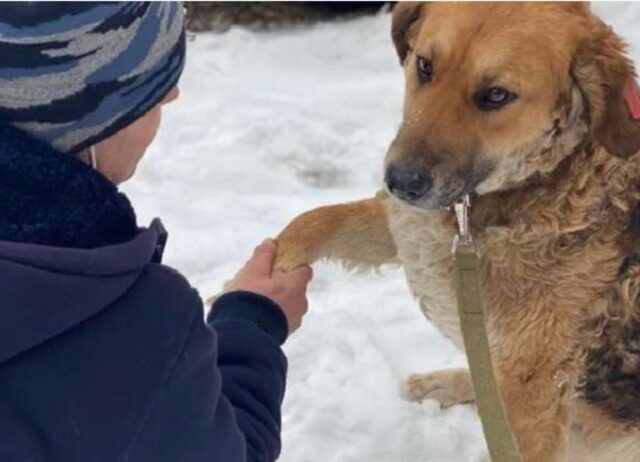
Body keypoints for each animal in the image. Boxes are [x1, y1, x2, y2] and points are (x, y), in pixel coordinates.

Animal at [272, 3, 640, 462]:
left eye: (496, 95)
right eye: (425, 66)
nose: (401, 181)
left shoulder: (530, 399)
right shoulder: (412, 230)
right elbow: (318, 220)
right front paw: (264, 274)